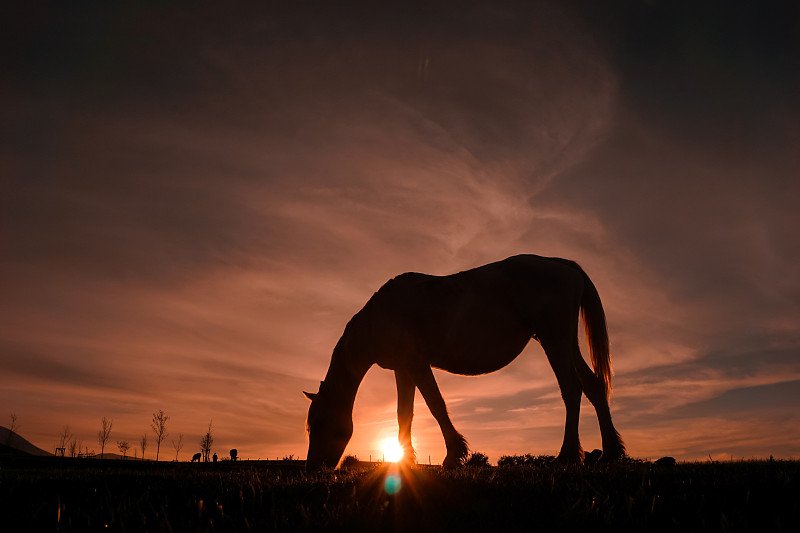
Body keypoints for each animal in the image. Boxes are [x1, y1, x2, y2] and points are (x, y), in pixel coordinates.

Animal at [304, 256, 624, 468]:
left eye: (317, 423)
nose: (313, 469)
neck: (381, 315)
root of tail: (562, 264)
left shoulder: (417, 364)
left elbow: (436, 405)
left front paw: (453, 455)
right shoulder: (403, 369)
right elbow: (404, 413)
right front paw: (407, 461)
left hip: (553, 340)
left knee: (571, 389)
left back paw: (567, 455)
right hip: (566, 342)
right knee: (593, 386)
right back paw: (610, 452)